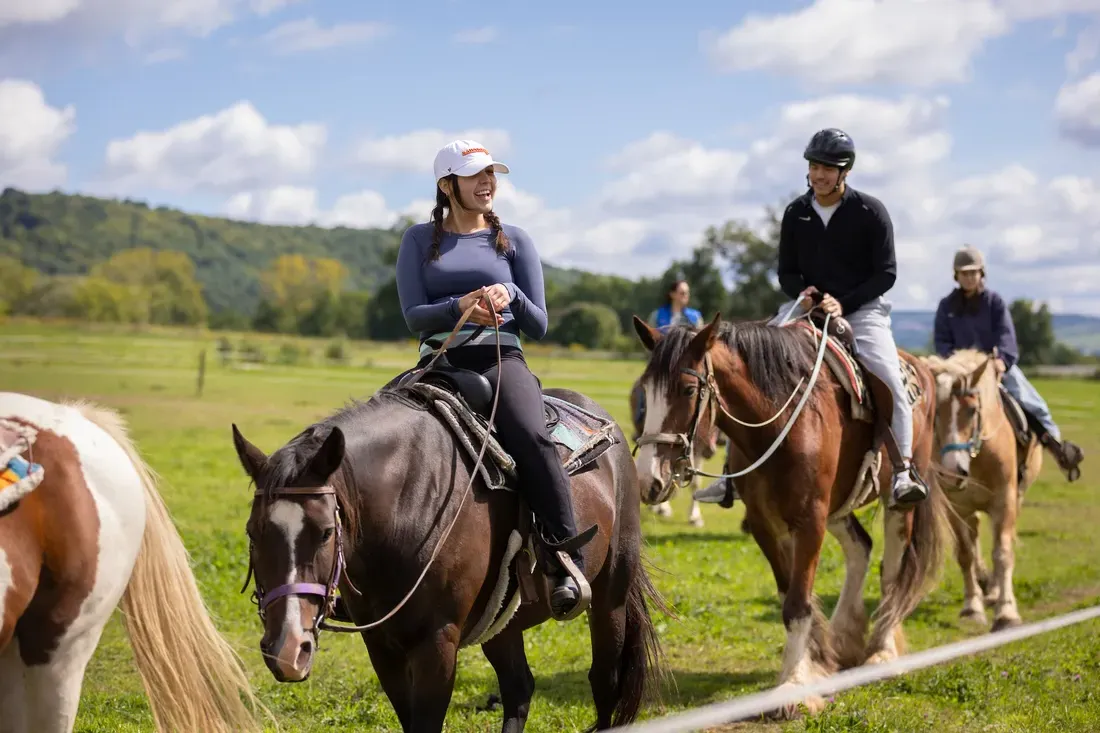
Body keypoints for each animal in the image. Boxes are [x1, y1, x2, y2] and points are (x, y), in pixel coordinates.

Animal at [227, 343, 664, 730]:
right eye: (253, 533)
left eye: (325, 533)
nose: (287, 649)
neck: (408, 500)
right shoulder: (382, 646)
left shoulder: (437, 644)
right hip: (502, 622)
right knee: (519, 690)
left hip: (610, 597)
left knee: (604, 683)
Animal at [924, 347, 1042, 629]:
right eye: (935, 413)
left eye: (972, 410)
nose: (953, 471)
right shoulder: (955, 507)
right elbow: (965, 554)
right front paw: (972, 607)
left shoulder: (1004, 501)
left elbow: (1003, 552)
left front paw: (1006, 611)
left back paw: (995, 591)